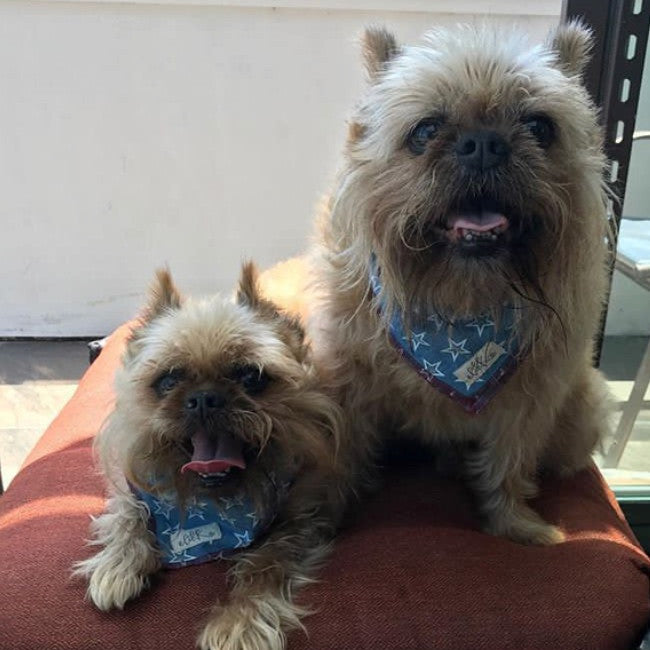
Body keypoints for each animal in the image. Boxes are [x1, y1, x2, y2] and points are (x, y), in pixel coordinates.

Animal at [73, 264, 342, 648]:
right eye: (168, 380)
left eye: (251, 376)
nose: (204, 398)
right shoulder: (133, 487)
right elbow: (129, 515)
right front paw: (119, 564)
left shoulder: (303, 519)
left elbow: (265, 563)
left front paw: (240, 621)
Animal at [312, 21, 612, 540]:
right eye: (426, 130)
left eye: (540, 127)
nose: (484, 143)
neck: (461, 300)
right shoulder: (348, 387)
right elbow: (341, 456)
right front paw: (324, 520)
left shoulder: (530, 402)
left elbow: (510, 462)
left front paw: (515, 524)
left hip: (581, 415)